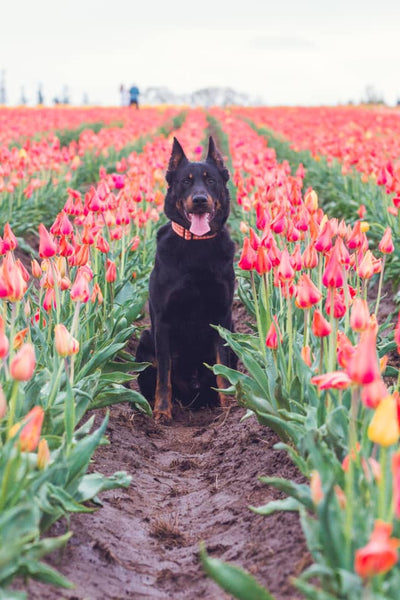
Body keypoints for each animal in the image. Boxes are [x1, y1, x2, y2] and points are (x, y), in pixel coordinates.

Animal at [138, 135, 238, 422]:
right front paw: (162, 412)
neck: (197, 246)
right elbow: (164, 375)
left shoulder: (222, 315)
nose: (200, 199)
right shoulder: (163, 320)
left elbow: (223, 367)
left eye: (211, 180)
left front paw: (229, 409)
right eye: (186, 181)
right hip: (146, 338)